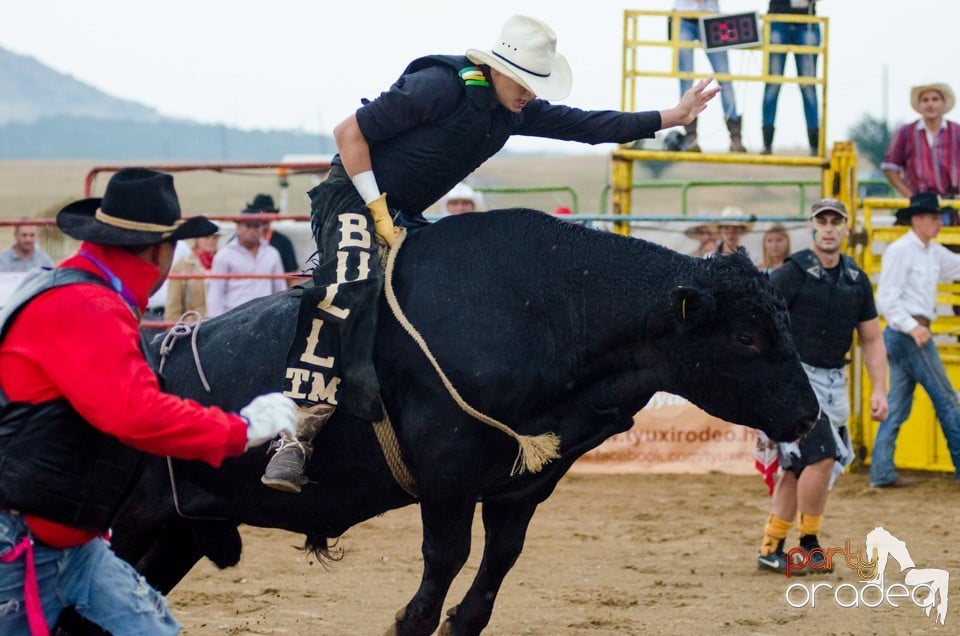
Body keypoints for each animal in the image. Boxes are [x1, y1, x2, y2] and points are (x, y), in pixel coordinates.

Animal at [67, 211, 816, 636]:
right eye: (747, 337)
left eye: (784, 320)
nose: (809, 413)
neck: (546, 308)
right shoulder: (447, 473)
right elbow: (444, 562)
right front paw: (414, 618)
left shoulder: (523, 484)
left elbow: (496, 565)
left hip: (172, 535)